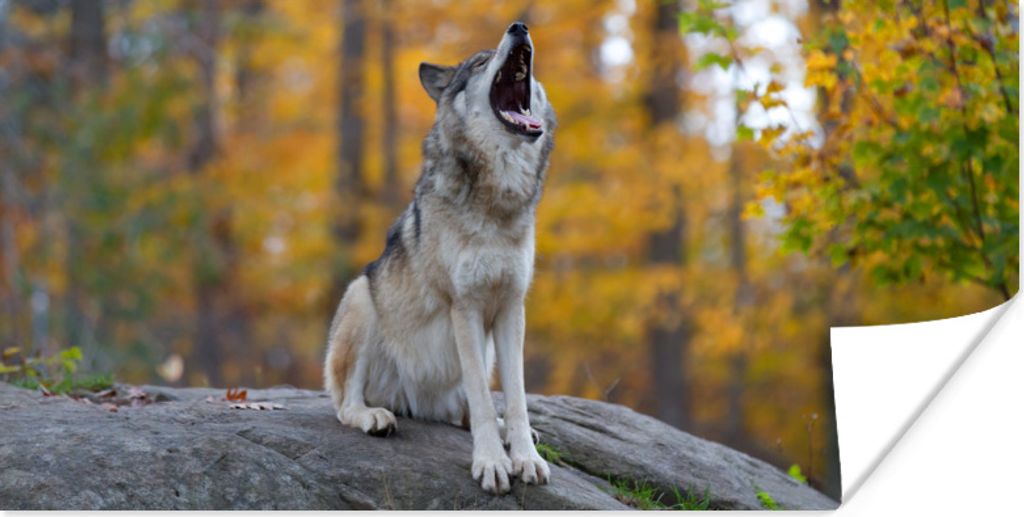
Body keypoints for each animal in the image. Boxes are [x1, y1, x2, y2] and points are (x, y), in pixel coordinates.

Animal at [323, 22, 556, 495]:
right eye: (480, 63)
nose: (519, 26)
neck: (497, 200)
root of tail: (418, 403)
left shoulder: (511, 308)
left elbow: (516, 399)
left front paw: (525, 457)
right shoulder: (463, 307)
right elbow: (484, 402)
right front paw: (492, 463)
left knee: (465, 411)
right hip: (361, 297)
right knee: (346, 405)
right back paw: (376, 417)